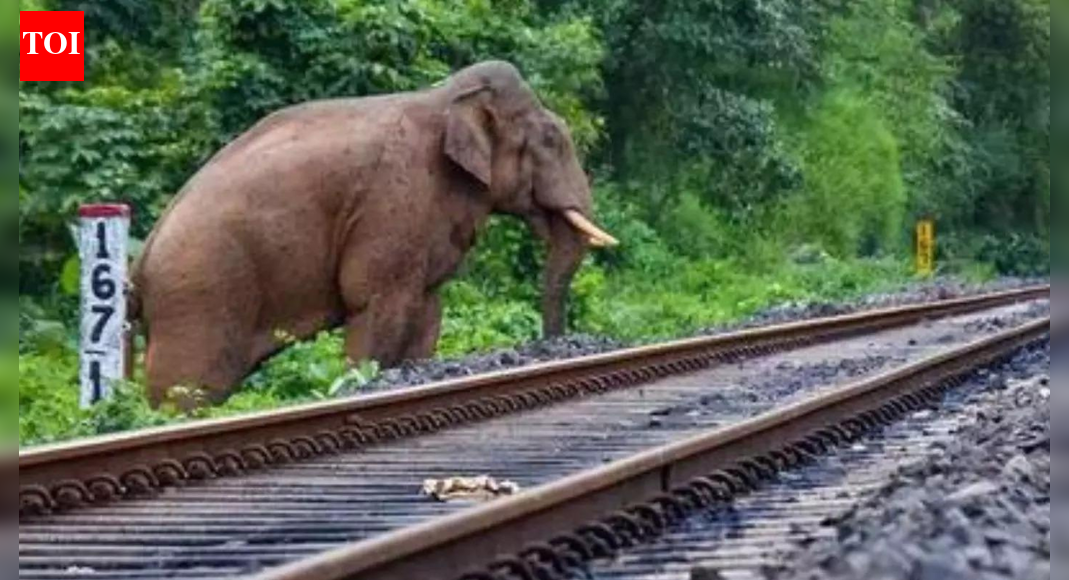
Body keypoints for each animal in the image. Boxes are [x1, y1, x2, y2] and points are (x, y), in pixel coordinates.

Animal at [130, 61, 618, 407]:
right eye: (552, 140)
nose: (556, 344)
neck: (445, 97)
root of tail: (141, 261)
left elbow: (427, 309)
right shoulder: (392, 203)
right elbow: (377, 302)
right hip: (199, 296)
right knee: (189, 389)